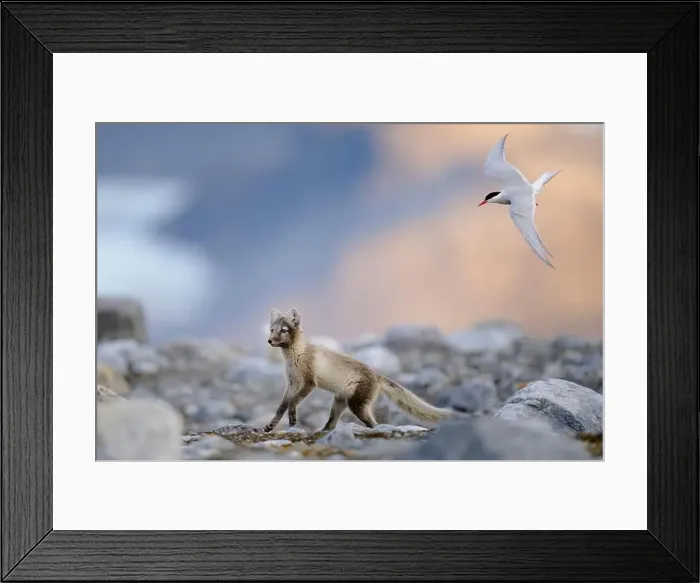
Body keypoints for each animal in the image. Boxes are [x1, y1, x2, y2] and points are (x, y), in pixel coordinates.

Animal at [262, 308, 454, 433]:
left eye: (283, 330)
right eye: (271, 329)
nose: (270, 341)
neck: (295, 356)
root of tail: (376, 375)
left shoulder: (309, 382)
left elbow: (293, 402)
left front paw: (293, 418)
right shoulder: (292, 383)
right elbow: (282, 406)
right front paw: (270, 426)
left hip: (358, 405)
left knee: (373, 423)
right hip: (339, 402)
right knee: (332, 423)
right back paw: (323, 432)